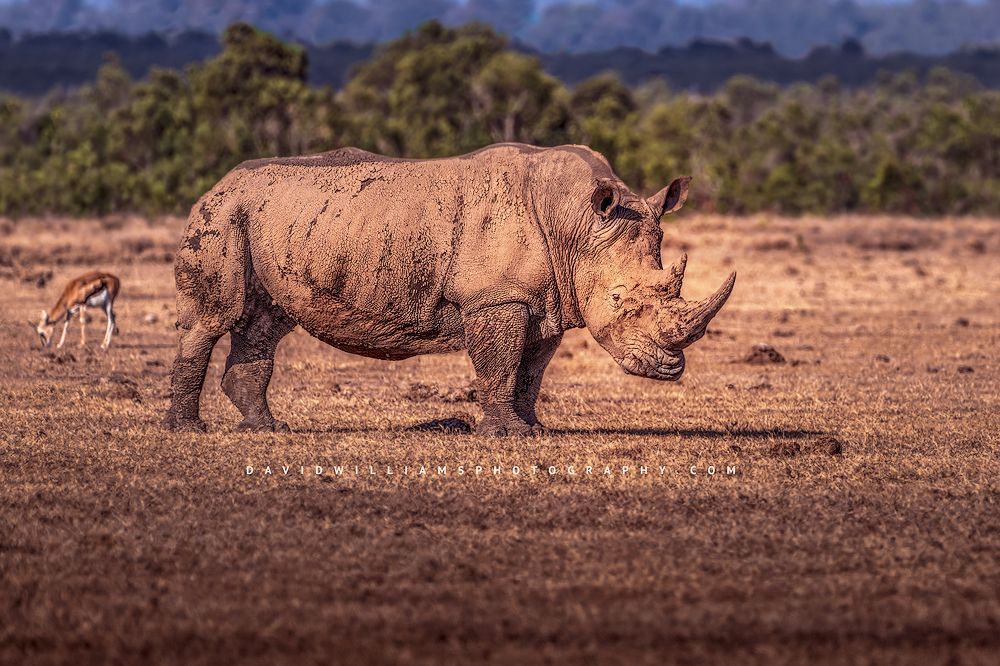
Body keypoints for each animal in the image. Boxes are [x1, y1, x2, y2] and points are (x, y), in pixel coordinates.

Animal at [163, 143, 735, 435]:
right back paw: (188, 431)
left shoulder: (545, 300)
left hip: (275, 221)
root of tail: (213, 185)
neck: (576, 224)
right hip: (222, 215)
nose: (671, 369)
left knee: (265, 323)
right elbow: (500, 367)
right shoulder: (497, 298)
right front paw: (505, 434)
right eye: (622, 302)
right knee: (213, 318)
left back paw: (266, 429)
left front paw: (534, 429)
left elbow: (531, 371)